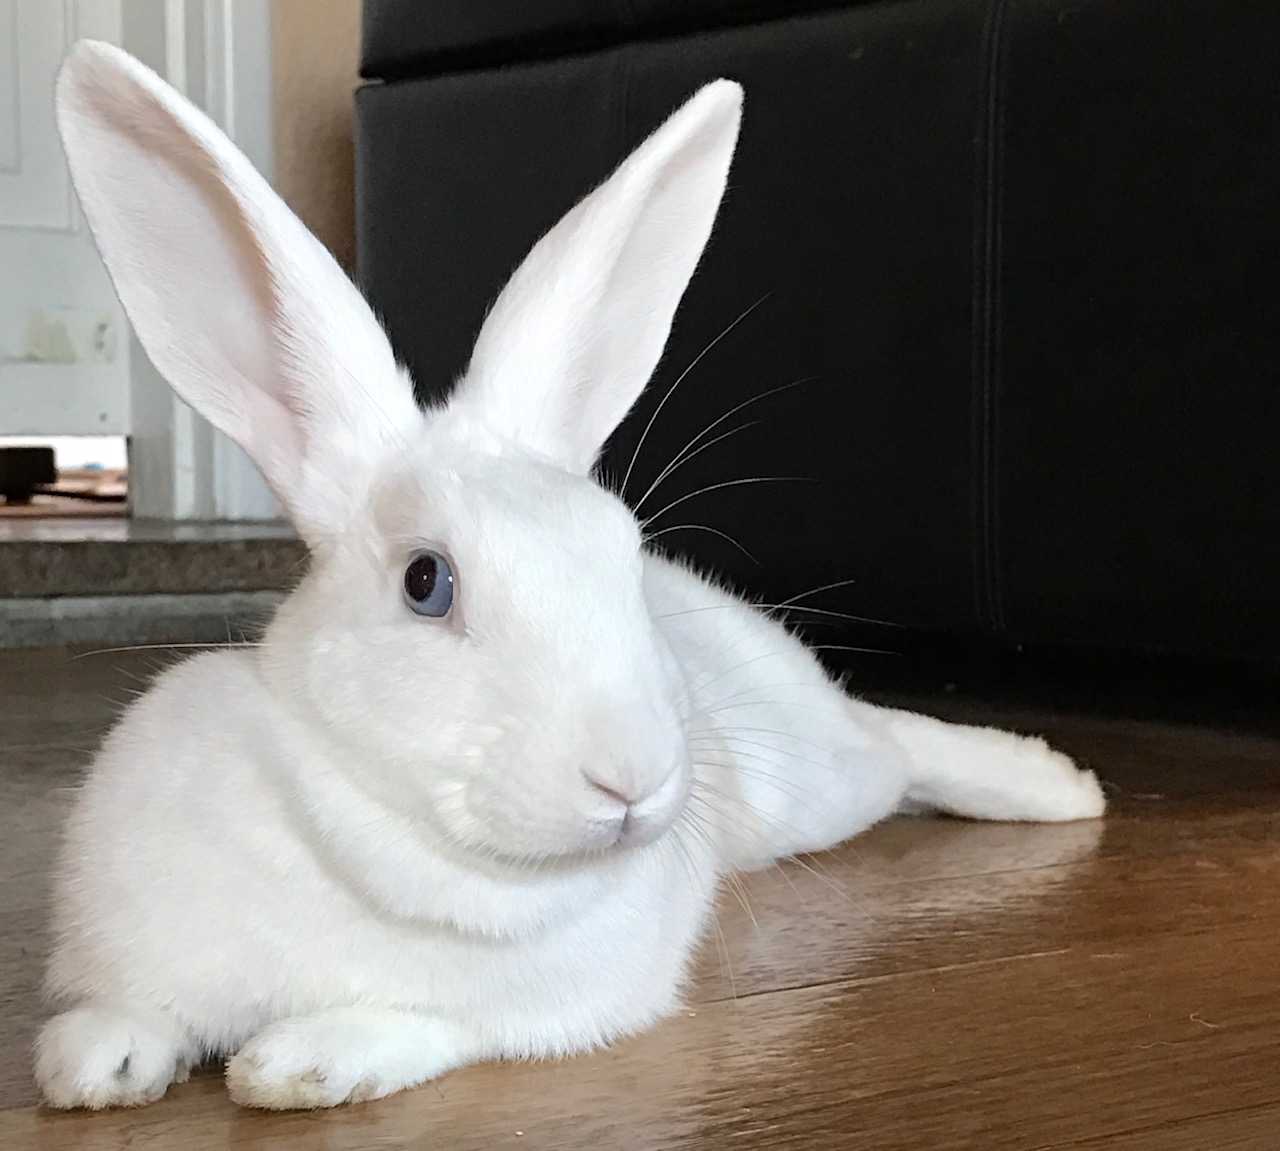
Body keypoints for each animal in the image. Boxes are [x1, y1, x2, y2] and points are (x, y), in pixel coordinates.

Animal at [35, 40, 1105, 1112]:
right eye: (426, 581)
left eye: (620, 554)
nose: (634, 774)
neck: (386, 841)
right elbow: (122, 1011)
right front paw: (91, 1065)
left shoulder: (528, 1008)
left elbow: (413, 1025)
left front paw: (295, 1063)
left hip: (813, 782)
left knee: (897, 740)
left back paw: (1061, 786)